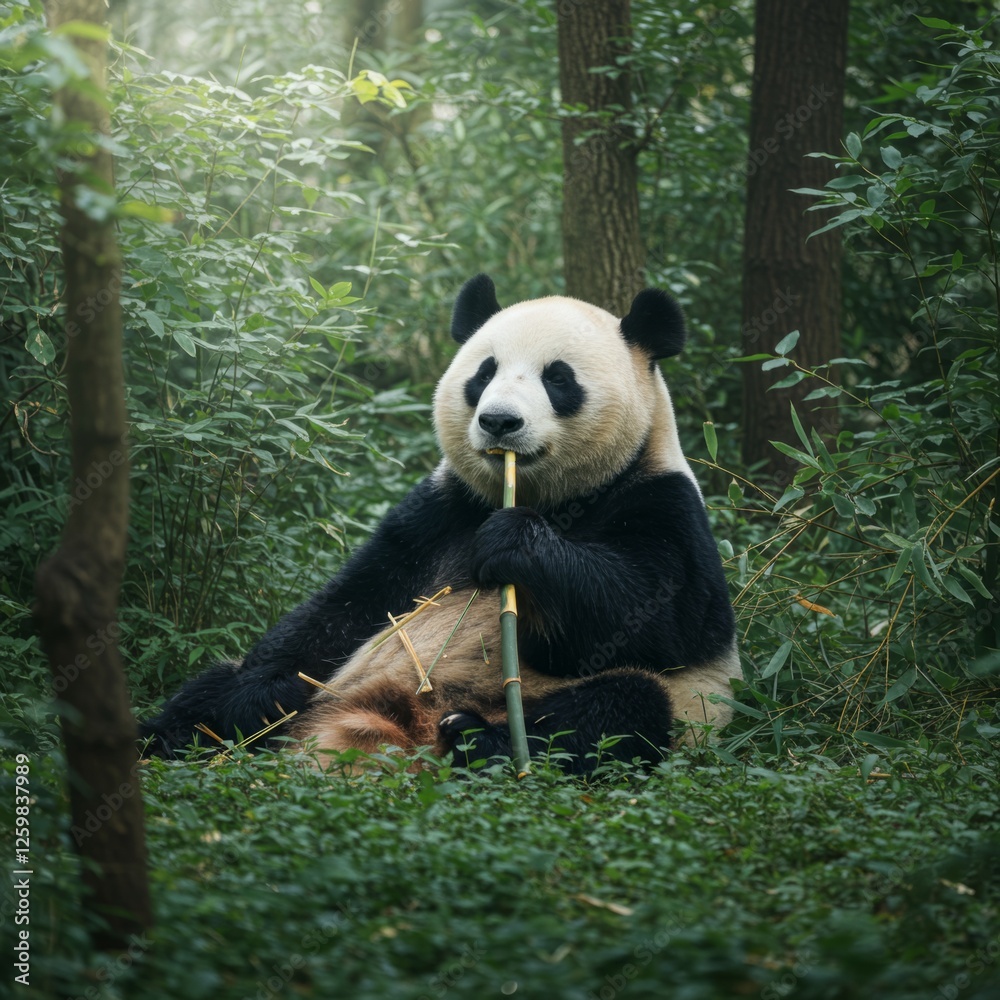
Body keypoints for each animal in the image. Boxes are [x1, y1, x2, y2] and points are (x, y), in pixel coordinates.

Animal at [140, 274, 740, 774]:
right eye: (484, 372)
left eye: (558, 378)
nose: (499, 421)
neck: (553, 498)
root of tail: (397, 728)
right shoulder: (442, 509)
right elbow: (348, 605)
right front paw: (266, 695)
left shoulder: (664, 504)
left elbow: (661, 620)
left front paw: (515, 545)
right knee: (211, 685)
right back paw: (181, 736)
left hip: (672, 708)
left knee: (618, 711)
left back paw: (475, 739)